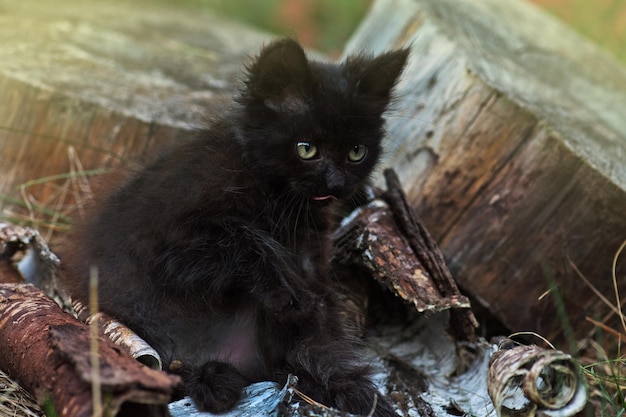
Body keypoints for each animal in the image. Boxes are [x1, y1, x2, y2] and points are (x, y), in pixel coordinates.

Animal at [61, 38, 408, 412]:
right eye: (307, 149)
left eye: (357, 152)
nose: (337, 183)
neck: (275, 195)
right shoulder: (164, 238)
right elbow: (243, 236)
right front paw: (287, 291)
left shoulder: (313, 262)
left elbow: (320, 335)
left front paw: (358, 390)